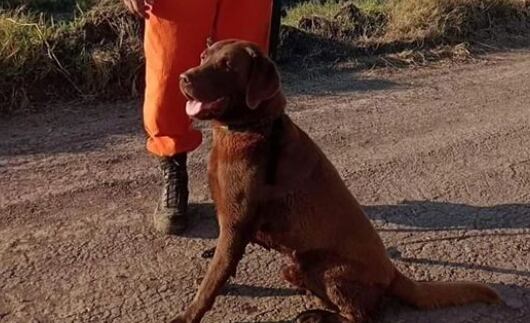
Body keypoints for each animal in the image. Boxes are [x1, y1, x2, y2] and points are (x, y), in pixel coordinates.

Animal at [172, 40, 500, 323]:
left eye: (227, 65)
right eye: (204, 56)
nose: (182, 78)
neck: (255, 127)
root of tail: (393, 272)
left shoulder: (236, 225)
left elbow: (212, 281)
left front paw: (187, 315)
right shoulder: (231, 226)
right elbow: (220, 268)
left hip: (327, 269)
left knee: (363, 315)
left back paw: (319, 315)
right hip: (294, 264)